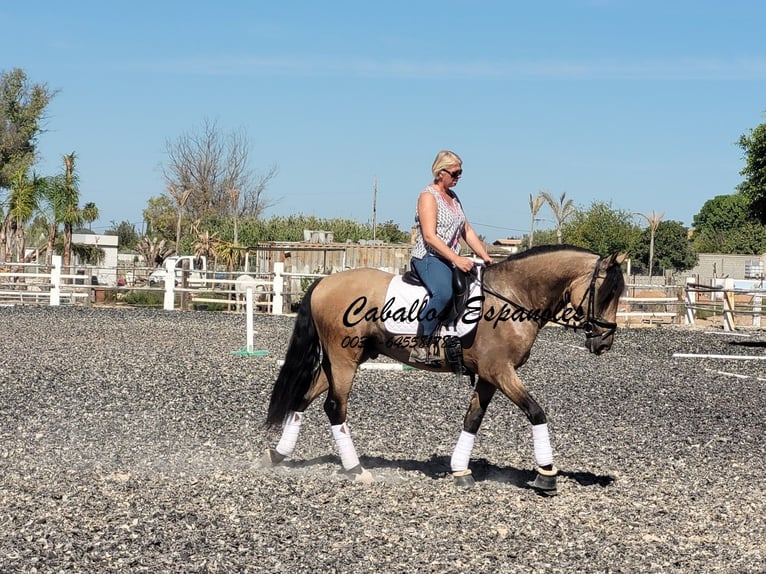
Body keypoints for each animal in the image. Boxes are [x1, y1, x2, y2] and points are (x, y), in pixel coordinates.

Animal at [260, 245, 628, 498]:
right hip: (343, 360)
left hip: (341, 361)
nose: (604, 342)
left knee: (304, 399)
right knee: (335, 407)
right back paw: (356, 469)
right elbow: (536, 412)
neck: (513, 297)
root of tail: (324, 282)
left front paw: (460, 471)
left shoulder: (489, 377)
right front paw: (546, 475)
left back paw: (278, 455)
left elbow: (472, 420)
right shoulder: (501, 371)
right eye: (605, 292)